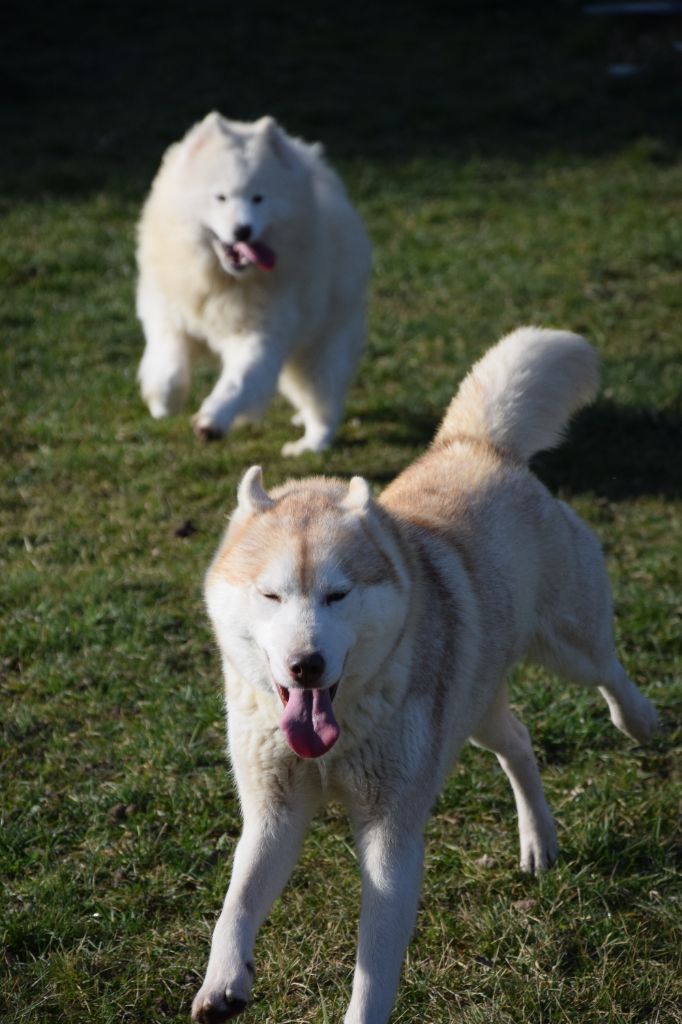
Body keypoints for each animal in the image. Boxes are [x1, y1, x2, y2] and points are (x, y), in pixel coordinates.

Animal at [136, 112, 371, 456]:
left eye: (258, 198)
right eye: (220, 197)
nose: (243, 230)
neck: (222, 282)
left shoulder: (260, 335)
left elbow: (238, 382)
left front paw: (212, 421)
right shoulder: (169, 314)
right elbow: (167, 363)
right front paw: (163, 401)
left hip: (317, 352)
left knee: (324, 404)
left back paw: (308, 445)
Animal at [192, 326, 658, 1023]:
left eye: (337, 594)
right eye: (271, 596)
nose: (307, 664)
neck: (342, 733)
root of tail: (471, 445)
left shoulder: (392, 834)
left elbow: (374, 966)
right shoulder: (272, 814)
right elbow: (235, 905)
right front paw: (222, 981)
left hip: (568, 645)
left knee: (610, 673)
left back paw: (641, 722)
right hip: (477, 712)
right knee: (519, 742)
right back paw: (538, 841)